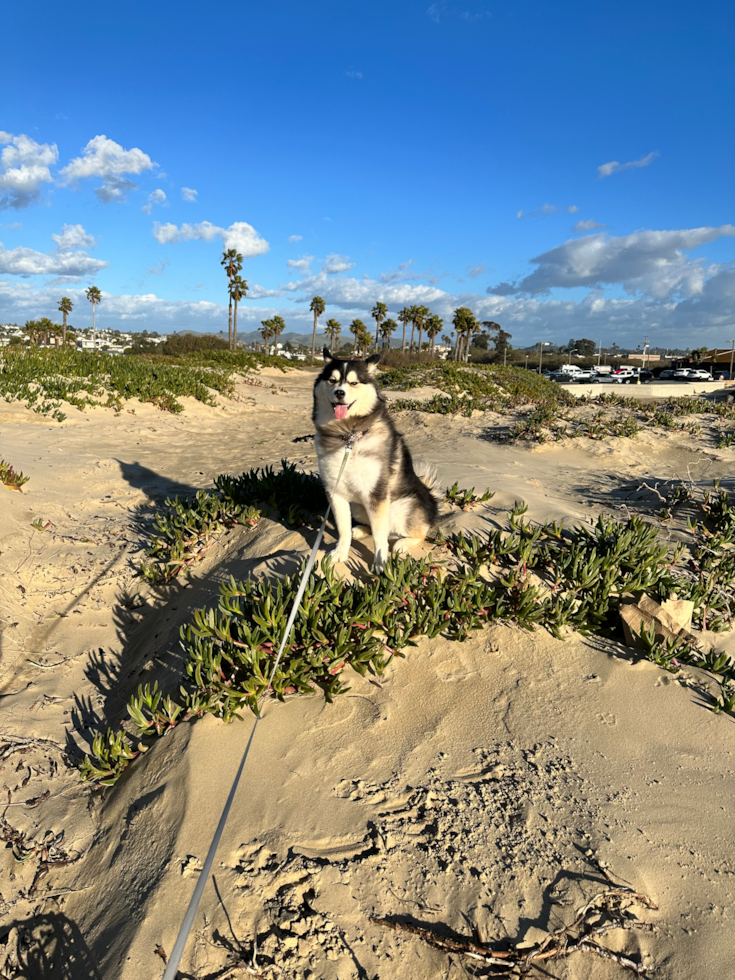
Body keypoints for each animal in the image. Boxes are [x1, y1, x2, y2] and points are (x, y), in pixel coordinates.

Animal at [314, 348, 440, 572]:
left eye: (354, 382)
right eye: (332, 380)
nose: (340, 393)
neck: (348, 435)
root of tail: (431, 497)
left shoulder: (377, 494)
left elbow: (380, 537)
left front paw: (381, 563)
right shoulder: (335, 491)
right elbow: (343, 529)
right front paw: (340, 552)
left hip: (401, 507)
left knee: (417, 532)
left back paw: (402, 543)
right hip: (358, 506)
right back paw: (360, 530)